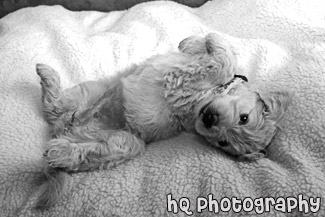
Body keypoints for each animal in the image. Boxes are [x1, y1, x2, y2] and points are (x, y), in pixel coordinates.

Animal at [34, 33, 290, 209]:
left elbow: (224, 63)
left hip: (127, 143)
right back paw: (48, 77)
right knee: (55, 107)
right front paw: (194, 41)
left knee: (81, 148)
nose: (210, 120)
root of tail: (65, 130)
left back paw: (59, 150)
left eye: (223, 143)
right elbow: (212, 54)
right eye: (243, 118)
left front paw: (210, 41)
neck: (206, 96)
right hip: (92, 91)